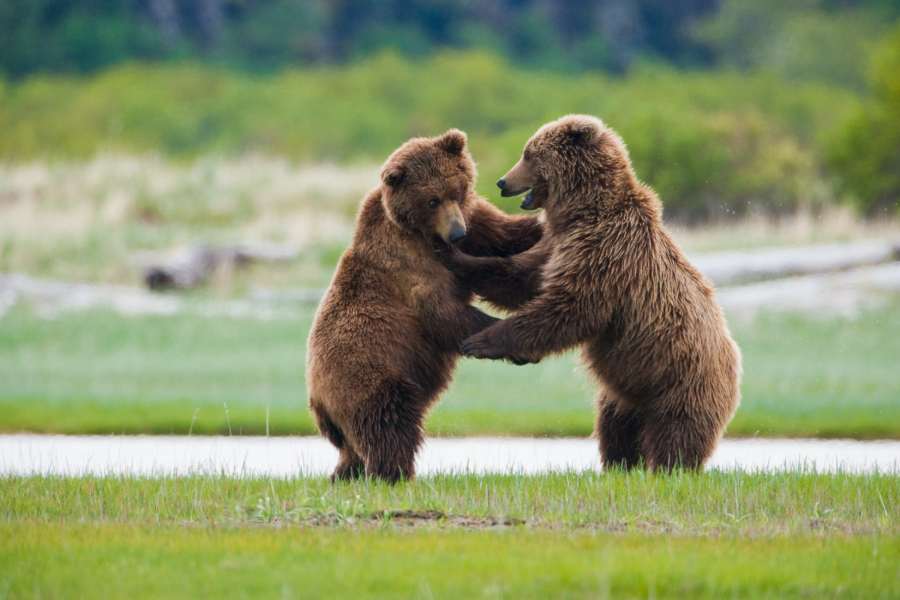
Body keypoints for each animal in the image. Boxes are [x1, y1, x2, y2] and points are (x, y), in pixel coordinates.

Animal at [306, 128, 542, 482]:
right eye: (432, 199)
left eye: (457, 191)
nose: (457, 234)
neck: (422, 232)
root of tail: (317, 398)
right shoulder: (410, 266)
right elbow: (445, 314)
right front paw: (511, 347)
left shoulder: (474, 220)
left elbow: (503, 234)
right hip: (370, 375)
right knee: (388, 421)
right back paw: (393, 472)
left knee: (353, 447)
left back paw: (347, 473)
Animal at [439, 115, 742, 470]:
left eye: (528, 154)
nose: (502, 182)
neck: (584, 212)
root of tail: (735, 366)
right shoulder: (558, 247)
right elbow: (520, 279)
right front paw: (456, 258)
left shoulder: (604, 254)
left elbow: (570, 309)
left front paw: (479, 342)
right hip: (623, 392)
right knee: (616, 426)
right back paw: (621, 463)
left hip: (680, 384)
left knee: (675, 437)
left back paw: (666, 467)